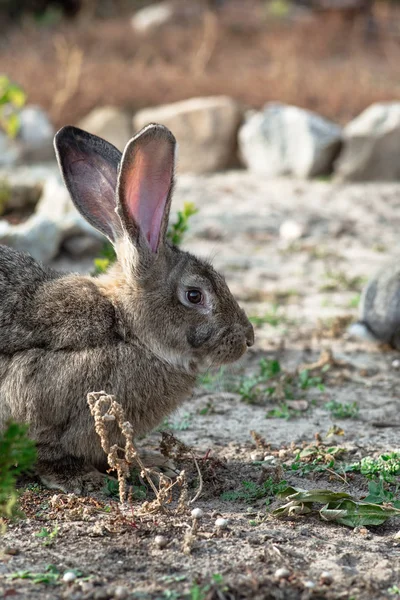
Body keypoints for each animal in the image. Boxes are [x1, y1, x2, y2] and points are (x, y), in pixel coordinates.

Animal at [0, 122, 255, 492]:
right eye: (195, 295)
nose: (248, 338)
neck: (126, 329)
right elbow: (48, 452)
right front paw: (82, 478)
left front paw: (152, 464)